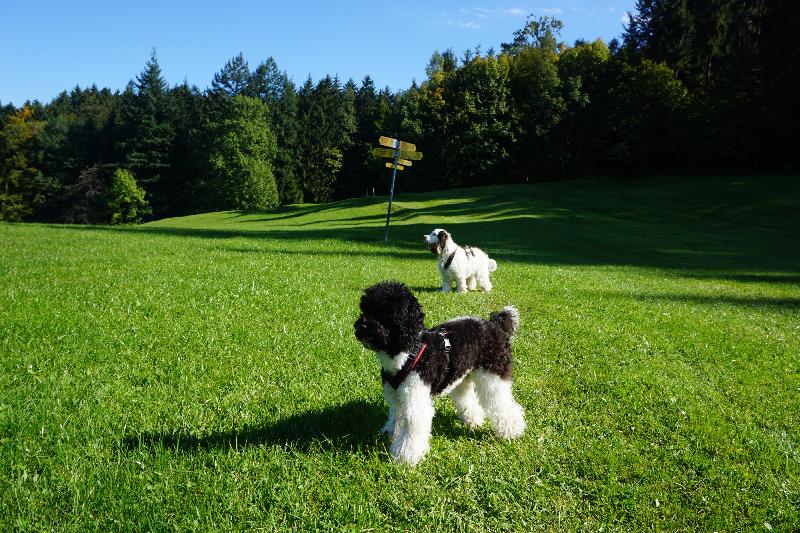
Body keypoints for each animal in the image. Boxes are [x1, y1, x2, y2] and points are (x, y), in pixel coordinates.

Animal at [354, 281, 526, 465]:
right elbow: (395, 416)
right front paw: (389, 433)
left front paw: (405, 457)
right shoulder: (396, 396)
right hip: (462, 376)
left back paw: (512, 431)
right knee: (468, 399)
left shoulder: (416, 398)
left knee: (503, 404)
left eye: (385, 314)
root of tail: (495, 324)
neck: (407, 352)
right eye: (365, 310)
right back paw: (473, 421)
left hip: (494, 377)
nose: (361, 326)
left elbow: (412, 428)